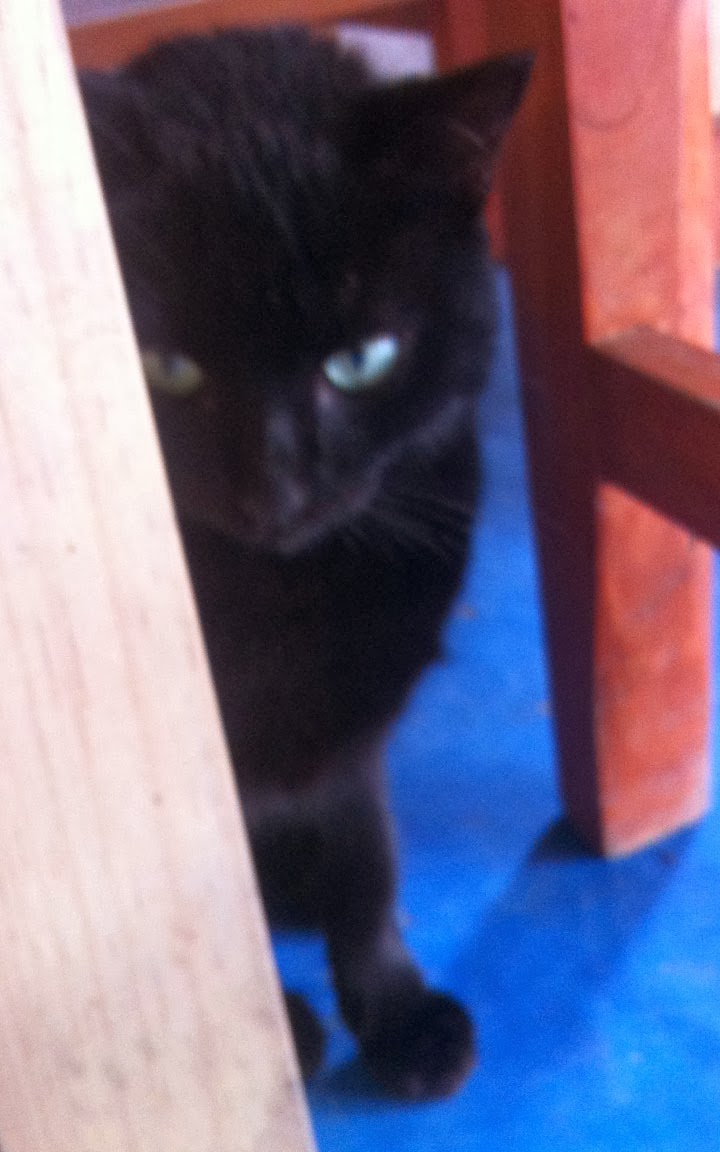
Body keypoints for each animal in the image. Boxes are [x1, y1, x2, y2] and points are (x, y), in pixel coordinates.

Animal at [80, 27, 529, 1101]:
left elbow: (367, 855)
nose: (272, 492)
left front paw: (398, 1010)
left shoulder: (353, 720)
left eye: (362, 360)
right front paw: (269, 1026)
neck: (283, 601)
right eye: (166, 367)